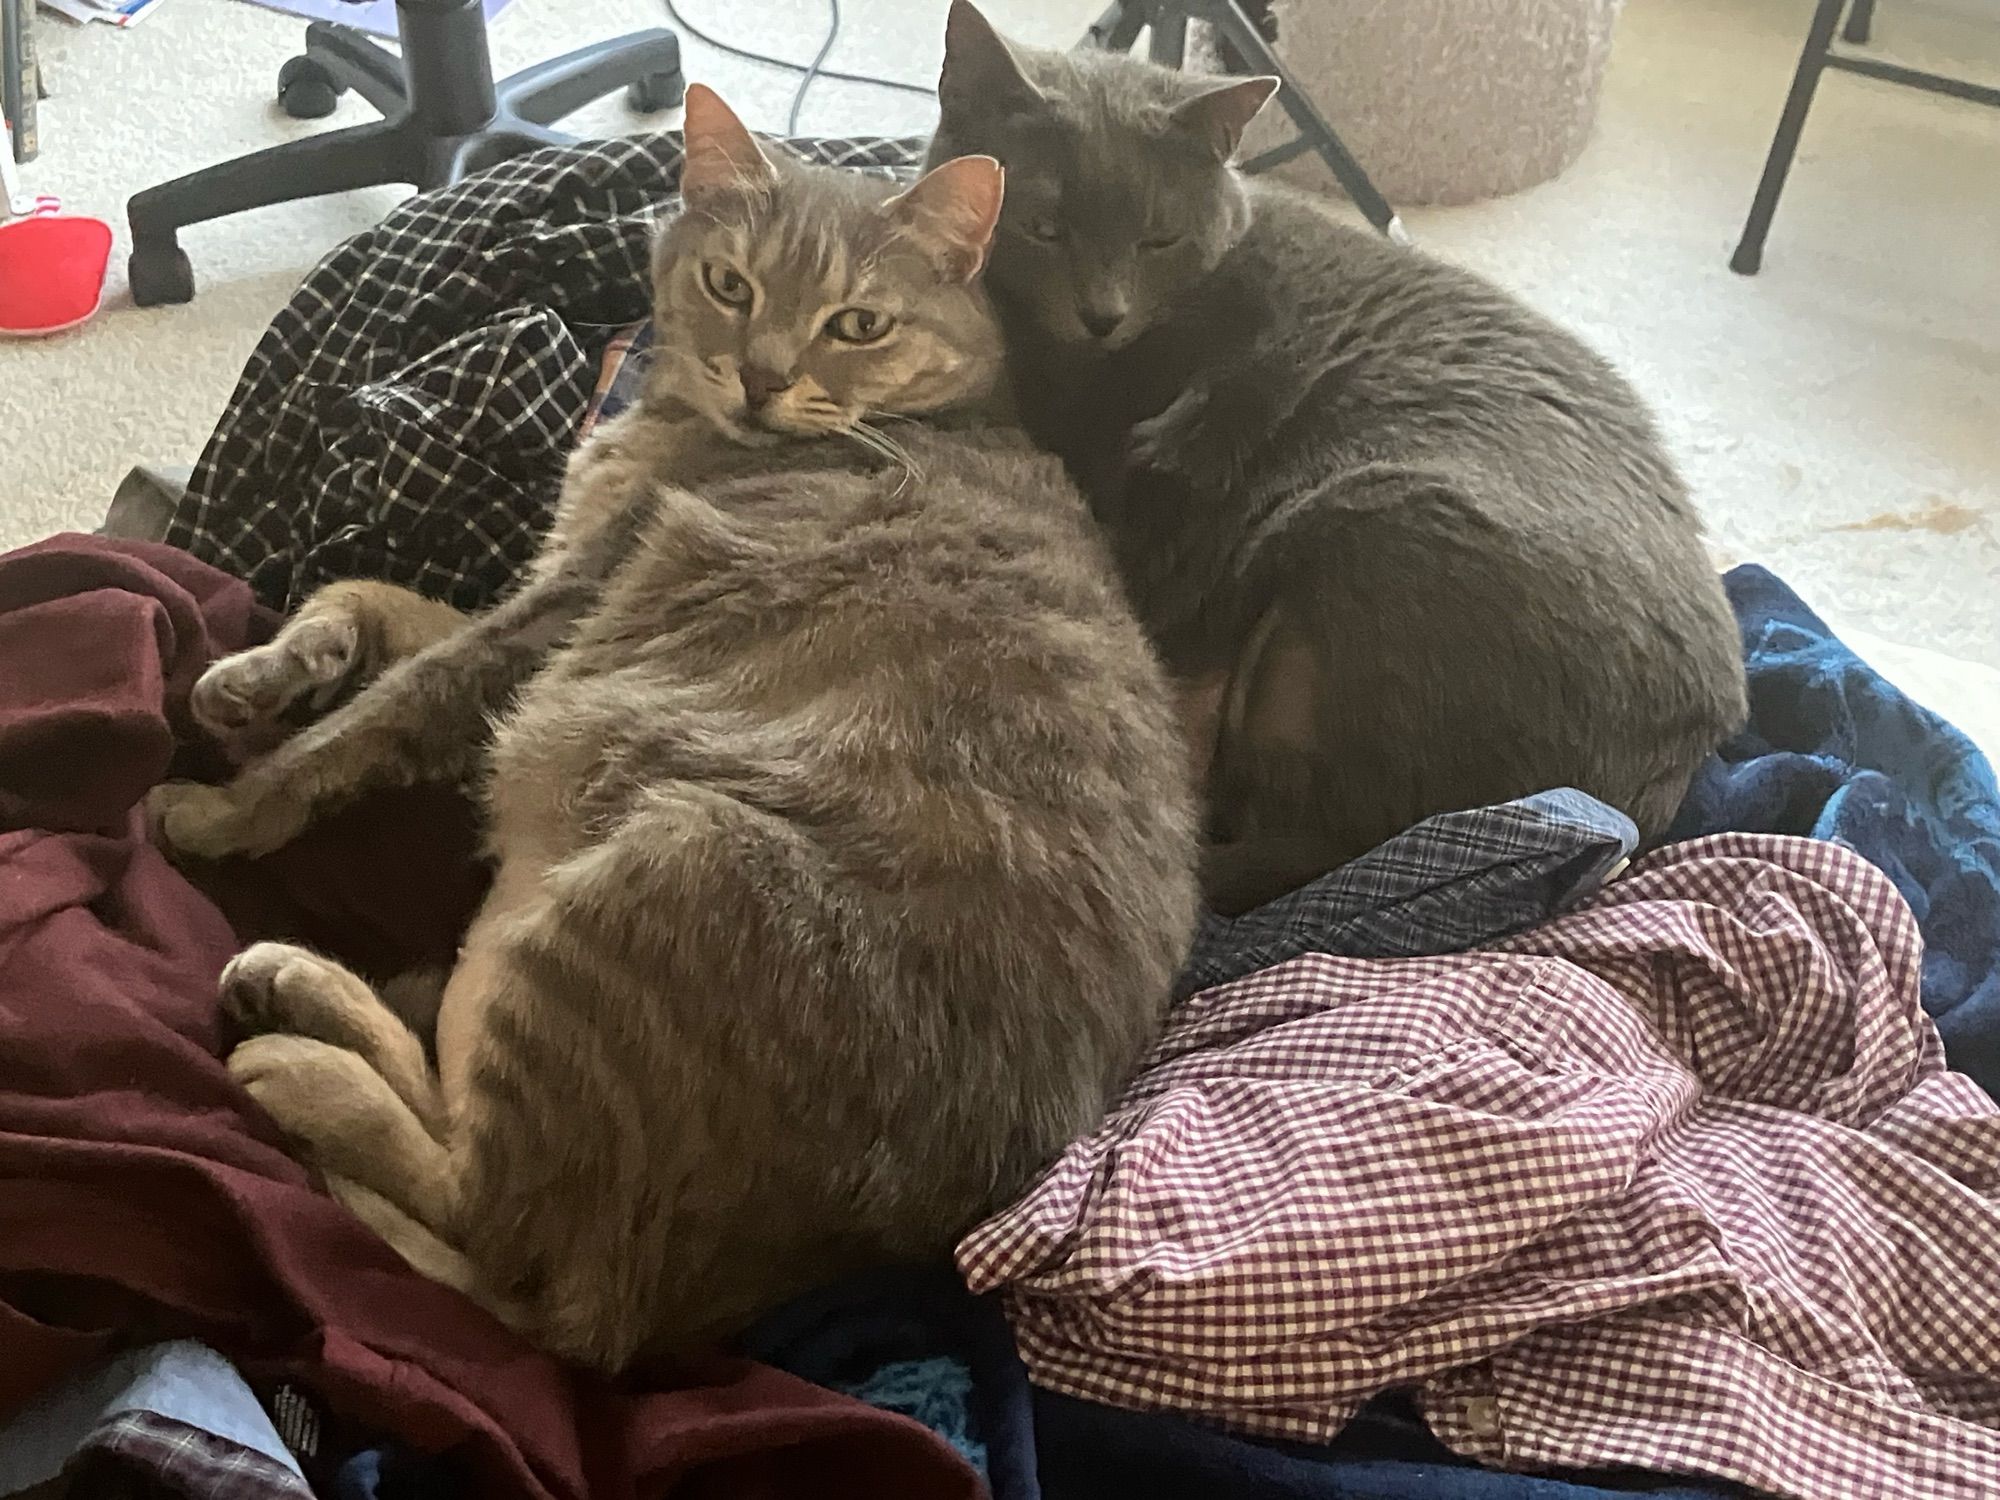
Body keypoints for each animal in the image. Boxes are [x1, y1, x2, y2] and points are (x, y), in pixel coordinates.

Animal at [152, 85, 1200, 1376]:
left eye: (856, 323)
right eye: (730, 284)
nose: (758, 375)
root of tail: (658, 1332)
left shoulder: (549, 616)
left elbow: (371, 721)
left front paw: (223, 806)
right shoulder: (541, 591)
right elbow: (364, 599)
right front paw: (266, 671)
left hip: (661, 863)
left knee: (486, 1220)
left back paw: (298, 1063)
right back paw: (308, 988)